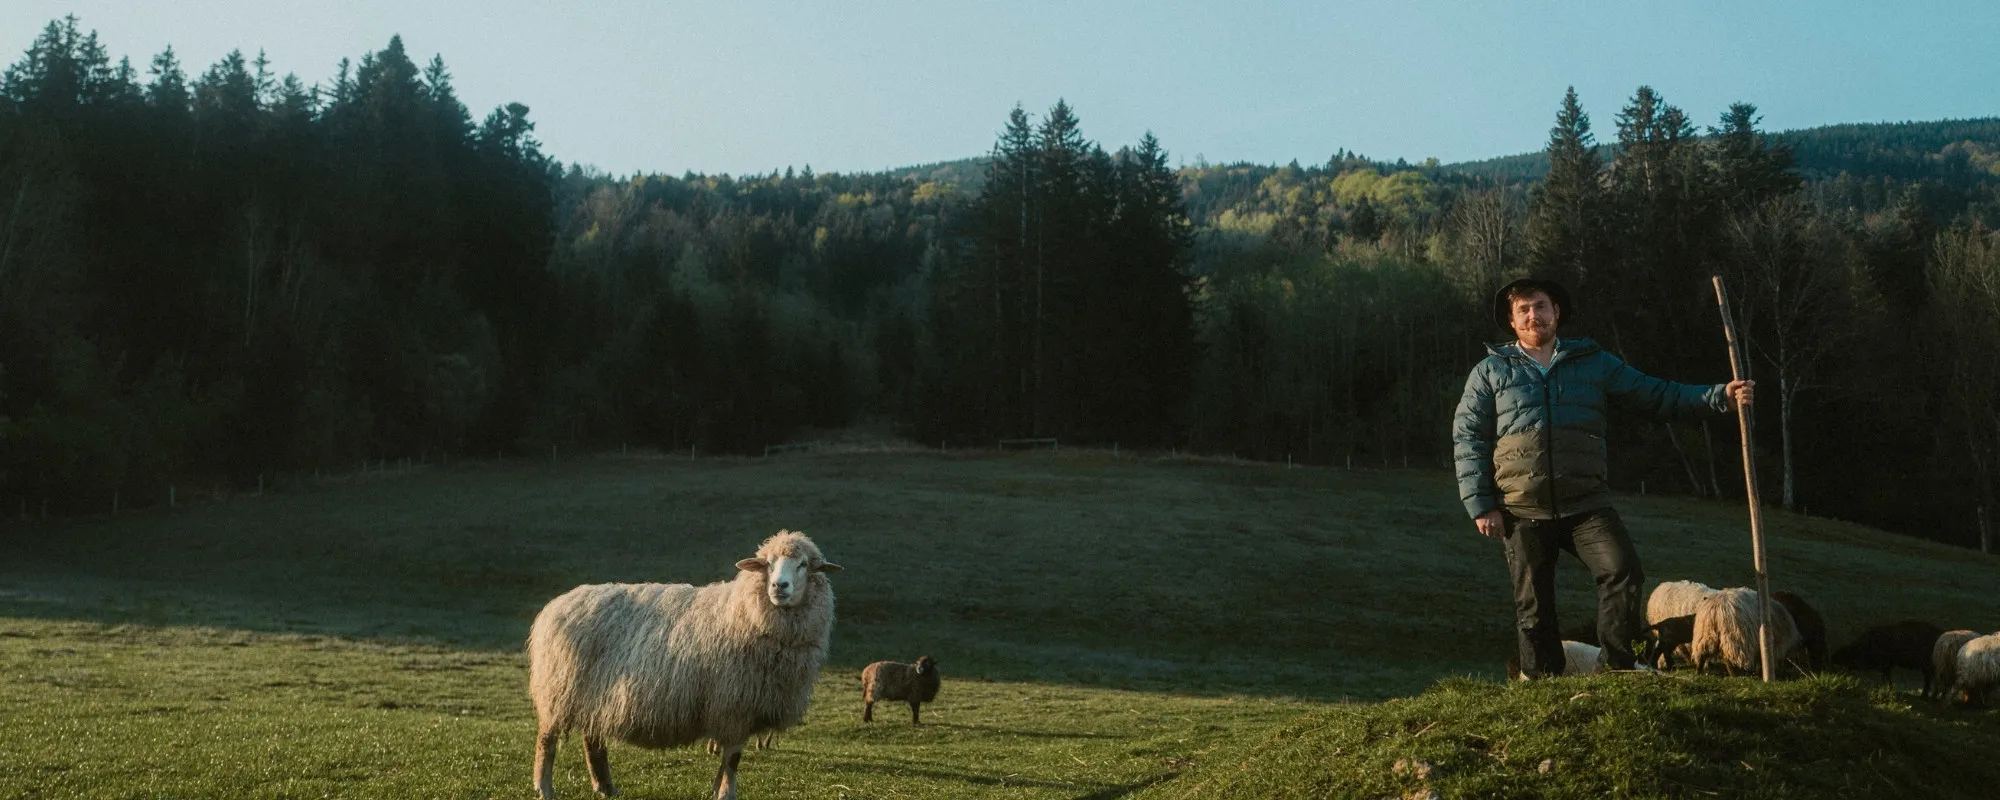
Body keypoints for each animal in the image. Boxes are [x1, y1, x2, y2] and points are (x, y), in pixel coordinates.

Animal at [527, 530, 842, 800]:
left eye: (803, 564)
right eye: (768, 564)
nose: (779, 586)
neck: (745, 612)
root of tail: (558, 603)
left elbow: (728, 760)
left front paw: (717, 789)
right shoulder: (734, 705)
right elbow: (733, 758)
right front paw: (726, 793)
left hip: (592, 697)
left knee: (592, 741)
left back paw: (606, 787)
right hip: (559, 688)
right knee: (547, 740)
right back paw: (544, 787)